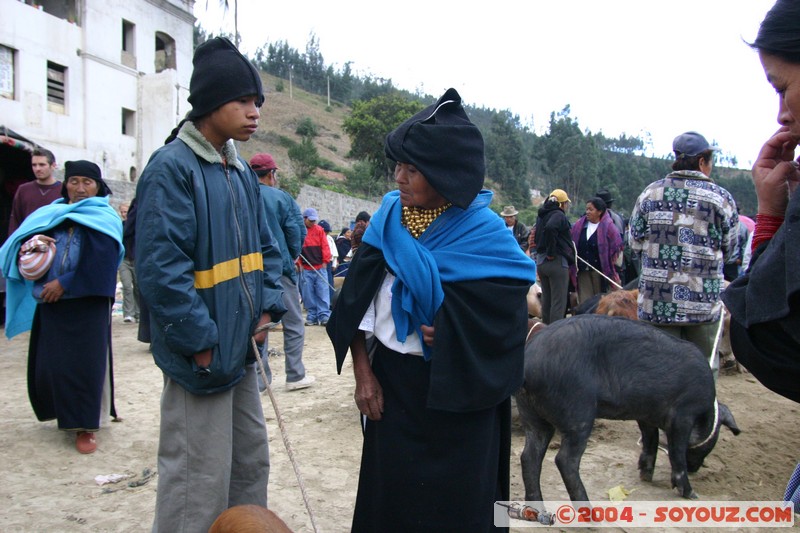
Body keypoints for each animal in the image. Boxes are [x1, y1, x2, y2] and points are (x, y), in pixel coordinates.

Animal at [516, 314, 740, 500]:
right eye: (712, 442)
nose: (696, 469)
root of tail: (529, 364)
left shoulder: (646, 415)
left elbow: (651, 439)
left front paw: (645, 475)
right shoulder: (682, 416)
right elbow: (676, 454)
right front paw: (691, 495)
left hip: (533, 416)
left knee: (529, 456)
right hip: (578, 413)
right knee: (564, 460)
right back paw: (590, 513)